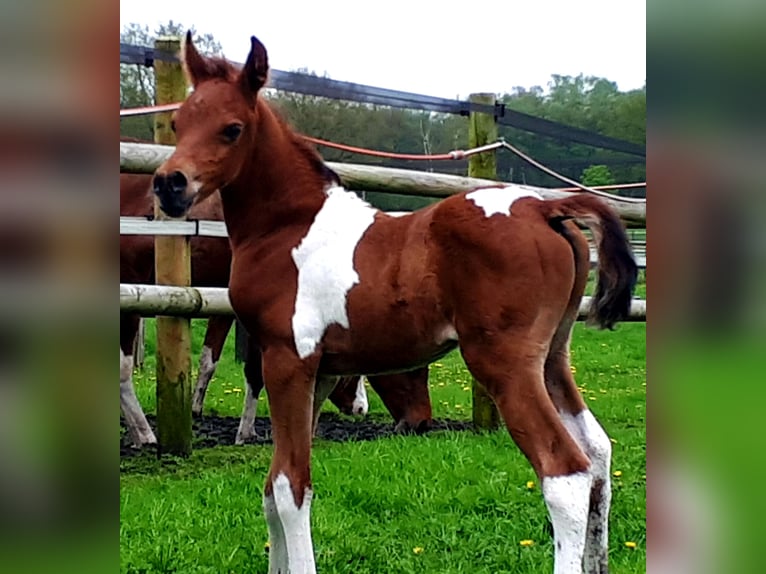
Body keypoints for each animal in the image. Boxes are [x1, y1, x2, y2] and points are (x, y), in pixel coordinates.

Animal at [153, 35, 640, 574]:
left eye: (232, 128)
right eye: (178, 123)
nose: (170, 184)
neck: (287, 227)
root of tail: (544, 206)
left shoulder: (288, 360)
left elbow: (289, 487)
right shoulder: (321, 373)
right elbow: (274, 482)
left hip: (504, 363)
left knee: (565, 474)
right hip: (552, 357)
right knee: (597, 453)